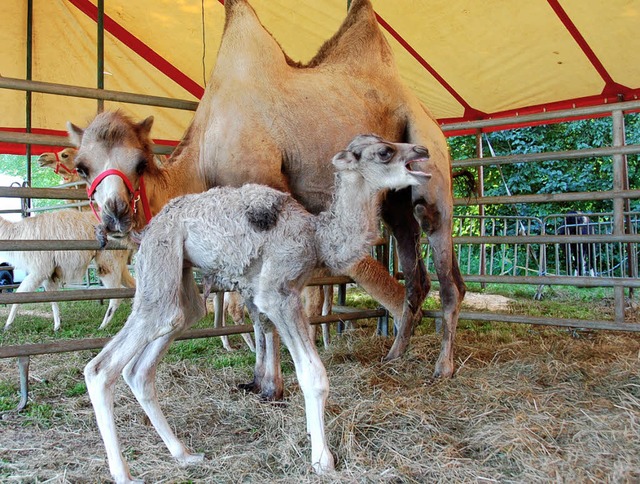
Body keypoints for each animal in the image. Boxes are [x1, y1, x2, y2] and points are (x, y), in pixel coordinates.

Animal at [69, 0, 464, 398]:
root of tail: (431, 118)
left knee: (446, 271)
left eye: (138, 163)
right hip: (394, 201)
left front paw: (273, 386)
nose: (115, 214)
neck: (205, 150)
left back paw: (442, 367)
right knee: (416, 273)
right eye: (82, 167)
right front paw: (258, 379)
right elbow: (251, 307)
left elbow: (260, 310)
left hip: (430, 164)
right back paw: (396, 353)